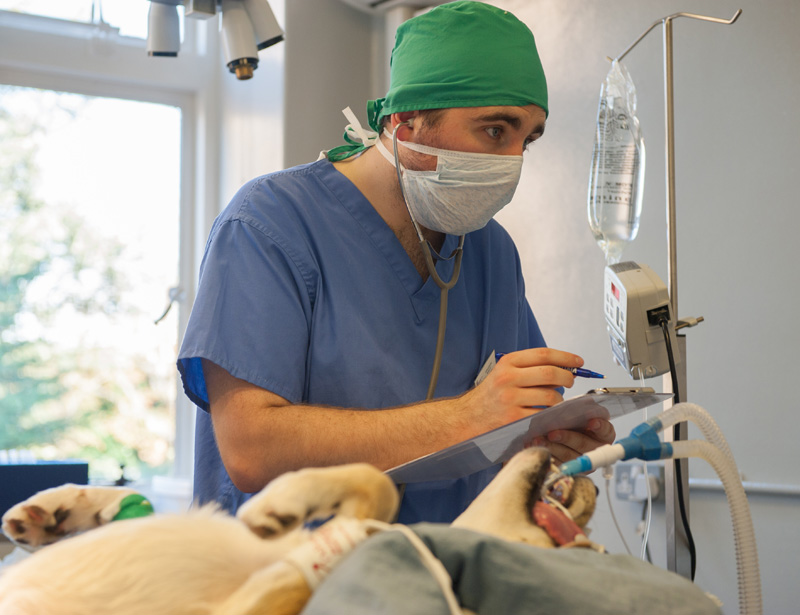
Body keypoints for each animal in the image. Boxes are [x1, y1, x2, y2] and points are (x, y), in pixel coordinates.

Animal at [0, 448, 596, 615]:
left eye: (587, 554)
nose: (590, 493)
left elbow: (378, 489)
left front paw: (279, 507)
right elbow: (372, 478)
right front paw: (57, 508)